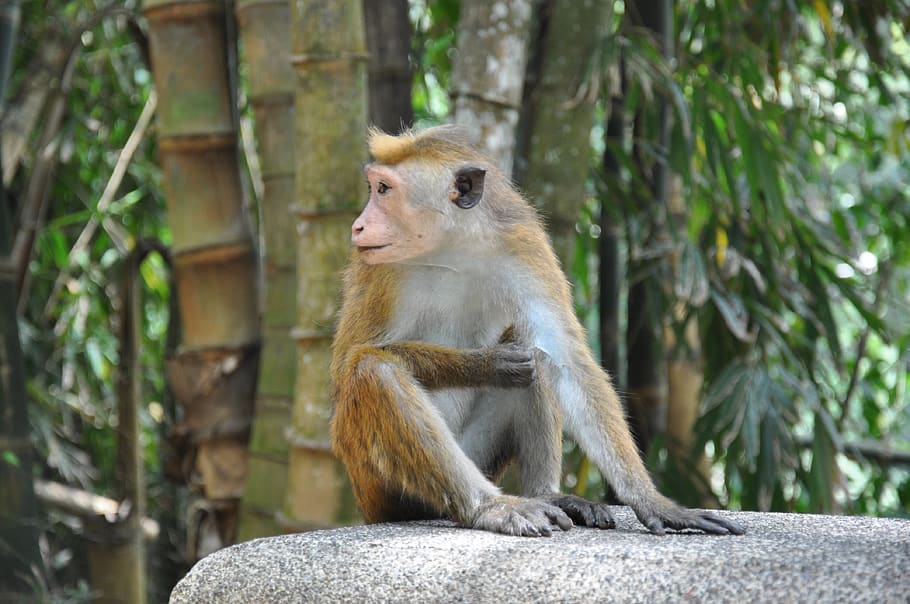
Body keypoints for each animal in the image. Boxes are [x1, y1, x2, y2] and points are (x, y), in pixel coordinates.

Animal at [329, 125, 745, 537]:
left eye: (384, 190)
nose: (358, 225)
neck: (453, 249)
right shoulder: (375, 270)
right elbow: (351, 363)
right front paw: (486, 364)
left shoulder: (524, 246)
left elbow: (566, 359)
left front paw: (650, 499)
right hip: (382, 487)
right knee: (376, 373)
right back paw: (489, 506)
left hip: (479, 454)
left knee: (537, 359)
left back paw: (548, 495)